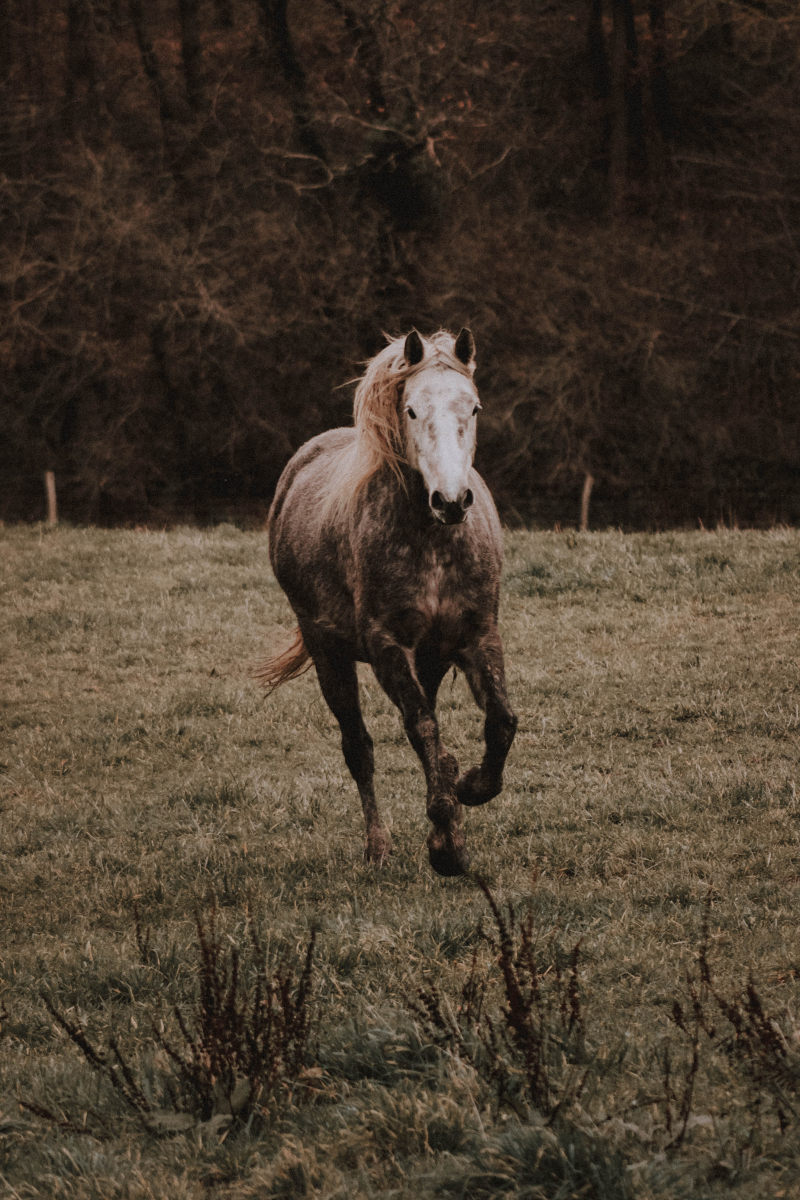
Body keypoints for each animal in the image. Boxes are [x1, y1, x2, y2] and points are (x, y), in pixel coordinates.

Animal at [260, 326, 515, 873]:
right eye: (412, 410)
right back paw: (378, 846)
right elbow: (420, 728)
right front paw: (446, 844)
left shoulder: (477, 635)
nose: (452, 501)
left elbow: (501, 721)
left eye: (474, 407)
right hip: (329, 653)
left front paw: (469, 788)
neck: (433, 541)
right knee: (359, 748)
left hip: (431, 658)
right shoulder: (385, 646)